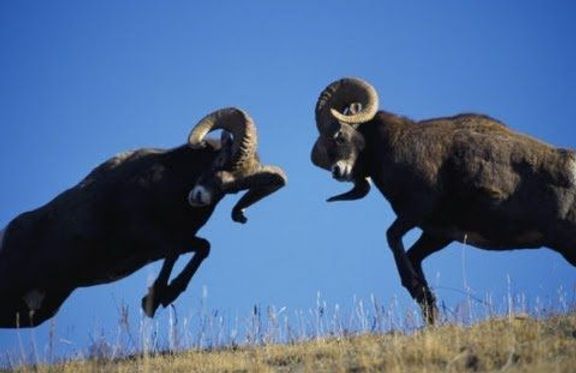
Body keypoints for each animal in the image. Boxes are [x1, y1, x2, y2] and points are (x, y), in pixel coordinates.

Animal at [0, 107, 288, 326]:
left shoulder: (171, 244)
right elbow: (179, 251)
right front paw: (155, 298)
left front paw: (162, 297)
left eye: (232, 189)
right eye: (219, 160)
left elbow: (202, 248)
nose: (200, 197)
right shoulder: (152, 238)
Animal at [310, 77, 576, 322]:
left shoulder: (415, 212)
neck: (394, 146)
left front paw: (415, 288)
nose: (337, 171)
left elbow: (392, 238)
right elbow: (413, 257)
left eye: (339, 136)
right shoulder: (438, 234)